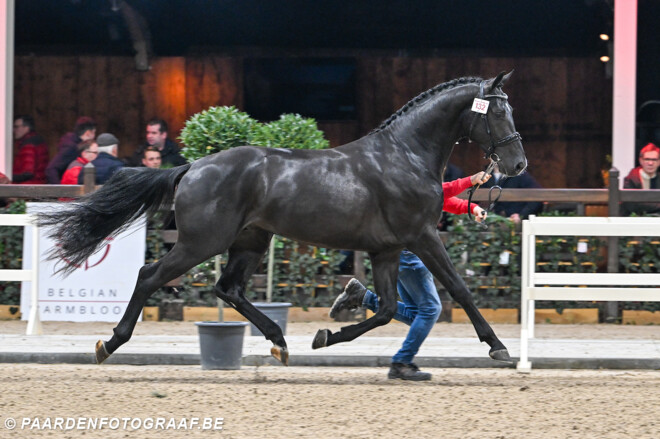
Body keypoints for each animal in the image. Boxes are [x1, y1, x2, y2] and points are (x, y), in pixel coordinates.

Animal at [40, 73, 524, 368]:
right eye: (499, 112)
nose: (517, 165)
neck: (404, 156)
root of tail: (193, 167)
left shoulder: (387, 249)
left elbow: (387, 309)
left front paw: (325, 336)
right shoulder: (421, 236)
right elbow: (459, 288)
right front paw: (499, 348)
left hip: (251, 241)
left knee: (228, 288)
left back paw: (280, 341)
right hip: (202, 243)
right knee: (150, 275)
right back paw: (109, 343)